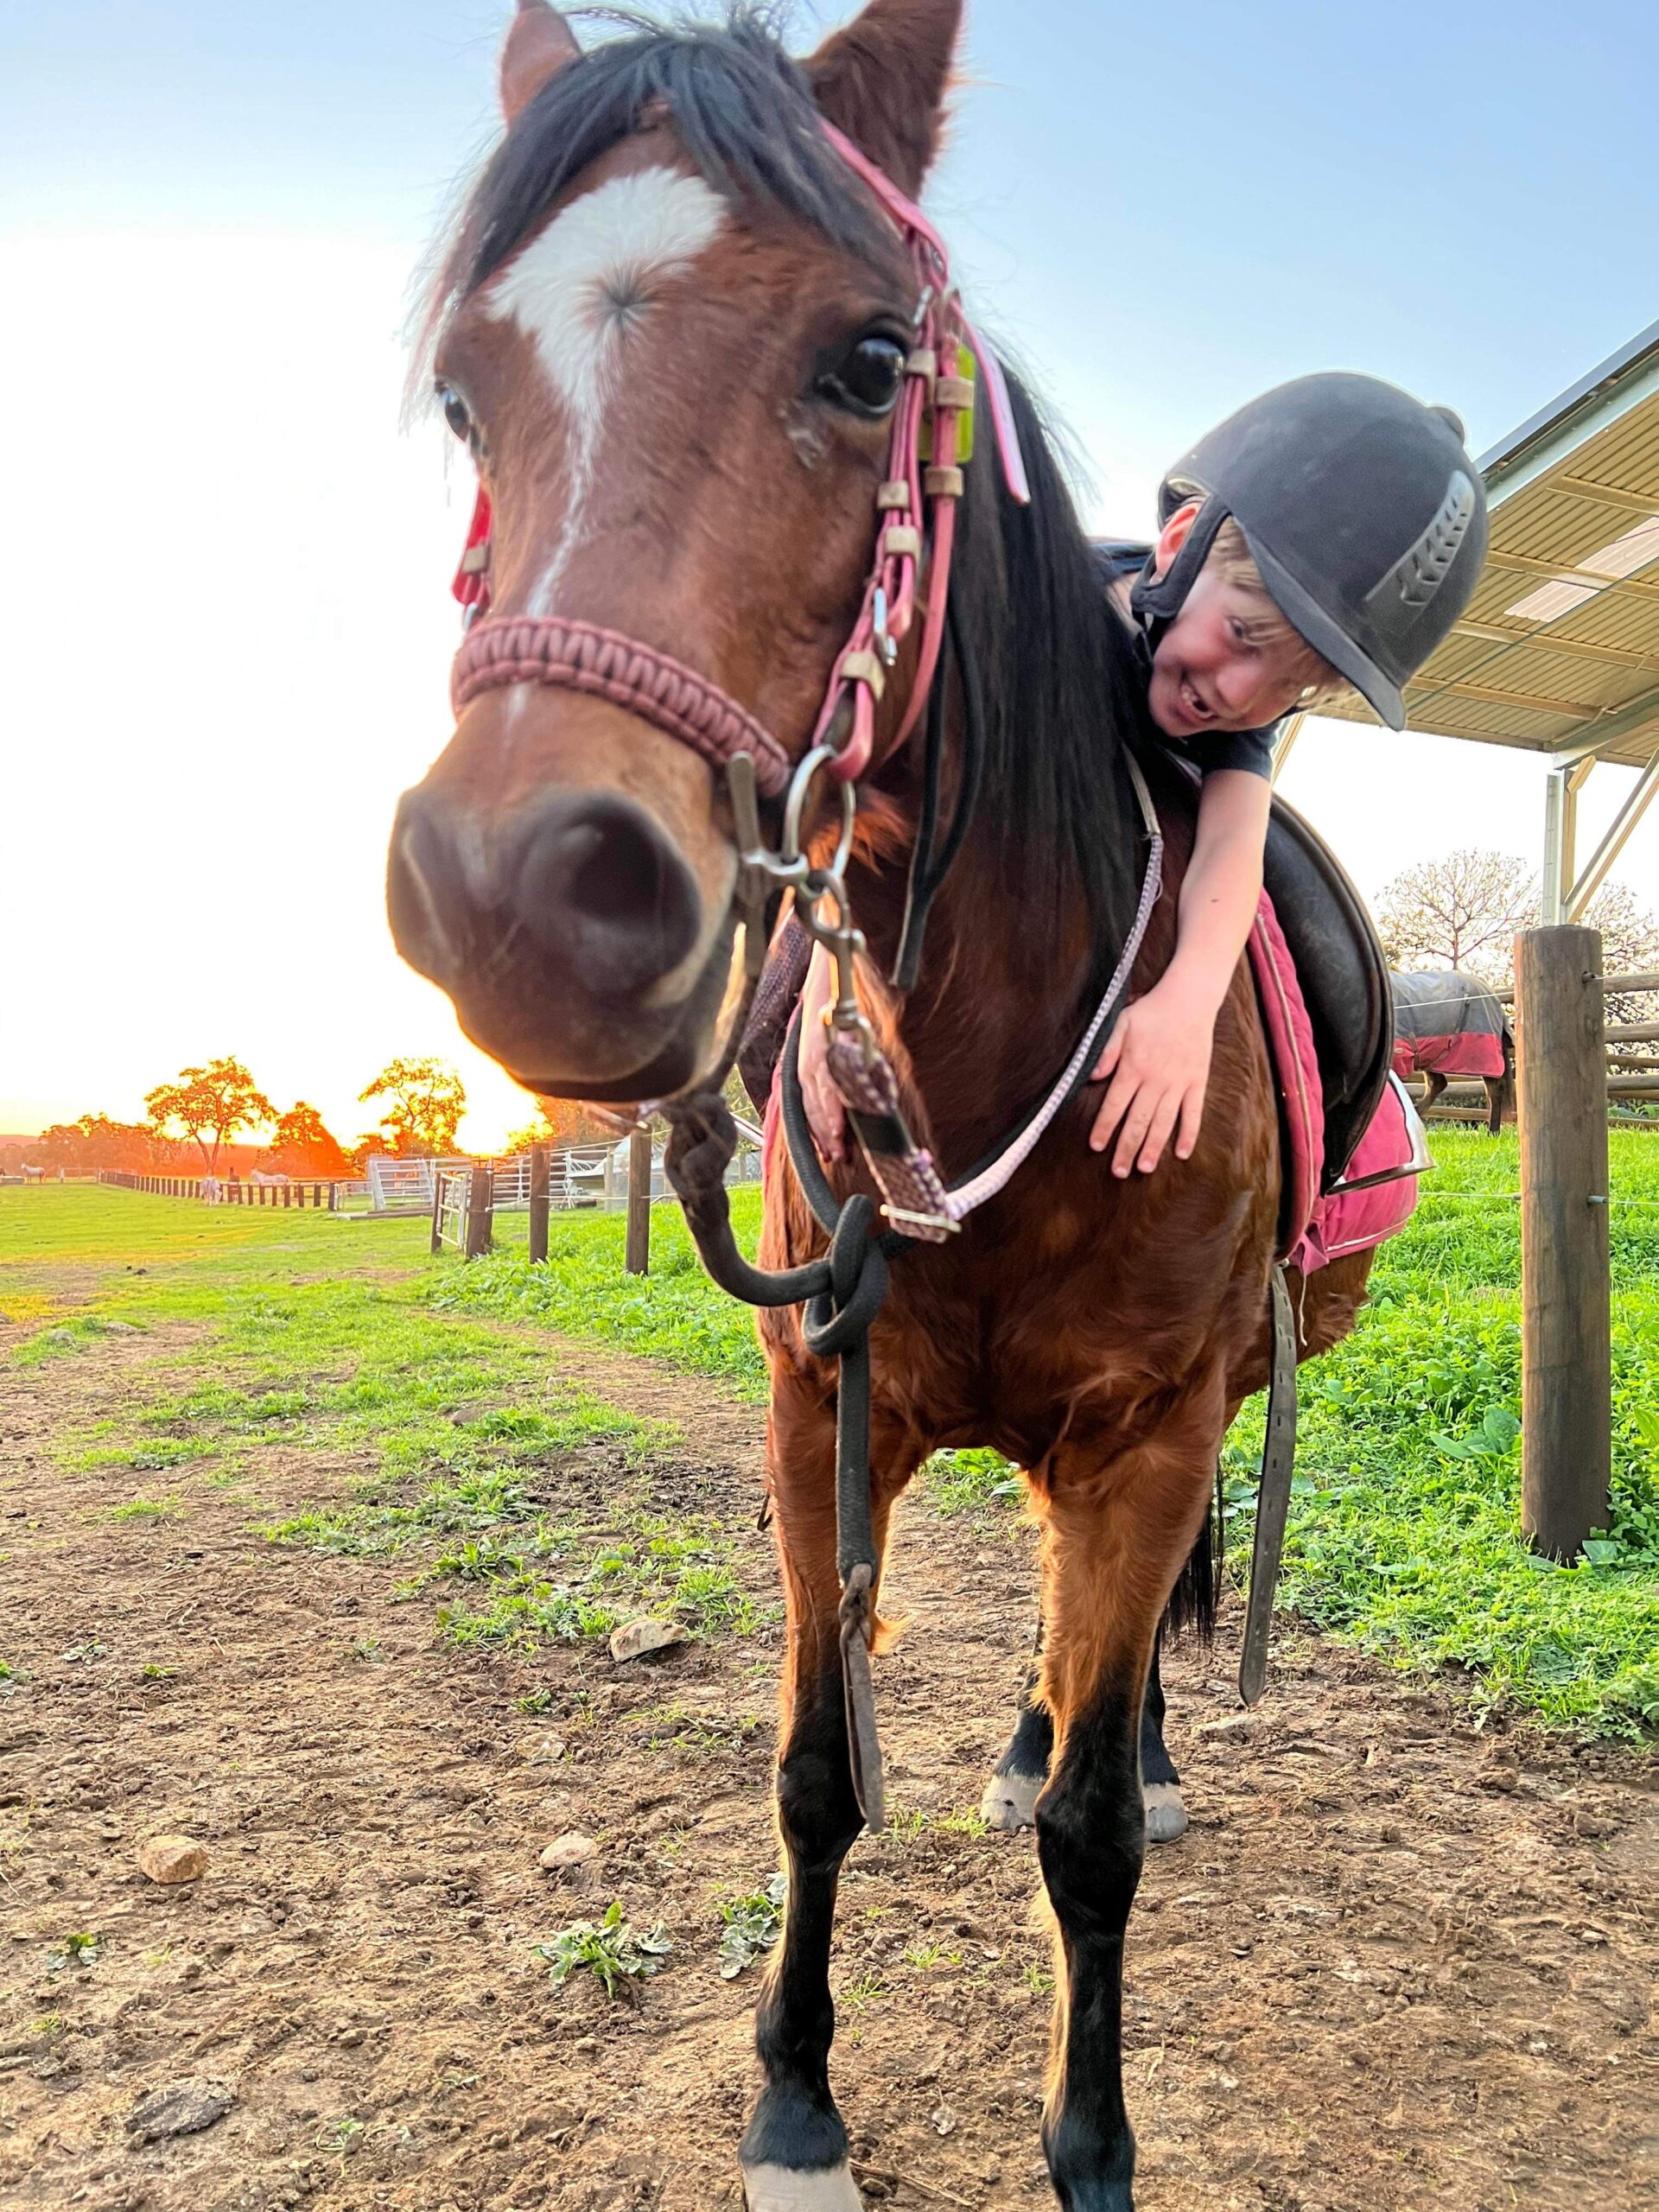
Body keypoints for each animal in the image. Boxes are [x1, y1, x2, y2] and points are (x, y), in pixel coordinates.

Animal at [387, 9, 1380, 2202]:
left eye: (861, 359)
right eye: (463, 393)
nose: (521, 894)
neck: (994, 1053)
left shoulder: (1152, 1431)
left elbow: (1090, 1839)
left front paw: (1089, 2138)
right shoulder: (818, 1409)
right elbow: (817, 1771)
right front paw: (793, 2090)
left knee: (1126, 1669)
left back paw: (1126, 1745)